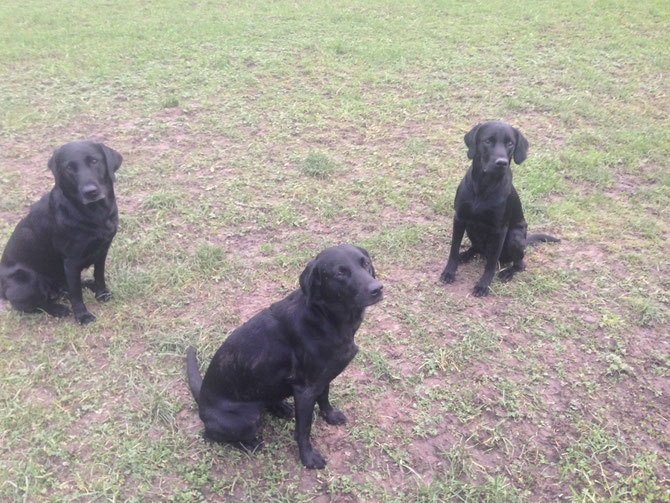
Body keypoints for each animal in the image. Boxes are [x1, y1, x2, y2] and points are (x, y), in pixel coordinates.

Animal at [0, 140, 123, 324]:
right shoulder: (71, 261)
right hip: (27, 280)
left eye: (94, 161)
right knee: (30, 305)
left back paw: (88, 284)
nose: (90, 192)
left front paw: (102, 294)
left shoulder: (102, 251)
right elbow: (76, 294)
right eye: (69, 168)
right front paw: (83, 316)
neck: (95, 213)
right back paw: (57, 308)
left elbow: (99, 275)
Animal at [185, 246, 384, 470]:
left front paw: (330, 416)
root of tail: (202, 400)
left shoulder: (323, 377)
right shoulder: (305, 390)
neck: (324, 317)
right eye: (340, 273)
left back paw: (280, 407)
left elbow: (324, 398)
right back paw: (250, 444)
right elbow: (304, 429)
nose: (377, 289)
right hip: (247, 418)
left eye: (365, 263)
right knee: (210, 435)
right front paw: (308, 458)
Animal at [444, 121, 560, 296]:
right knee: (477, 248)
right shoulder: (459, 218)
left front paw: (484, 285)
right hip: (471, 229)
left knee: (519, 264)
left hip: (514, 237)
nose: (501, 162)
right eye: (487, 141)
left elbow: (491, 263)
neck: (484, 186)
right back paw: (465, 255)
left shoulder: (500, 230)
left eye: (510, 143)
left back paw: (507, 273)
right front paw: (449, 272)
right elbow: (453, 249)